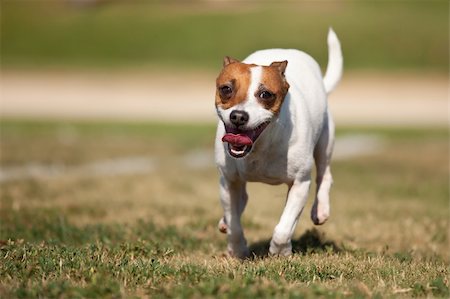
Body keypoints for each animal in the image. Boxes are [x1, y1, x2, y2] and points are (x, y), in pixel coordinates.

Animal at [213, 28, 342, 258]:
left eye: (266, 94)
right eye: (226, 89)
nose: (238, 116)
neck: (260, 147)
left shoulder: (300, 184)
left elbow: (284, 226)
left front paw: (279, 251)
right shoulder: (228, 181)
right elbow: (235, 223)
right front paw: (237, 250)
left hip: (325, 143)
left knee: (324, 175)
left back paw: (321, 209)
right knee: (241, 199)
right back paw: (225, 221)